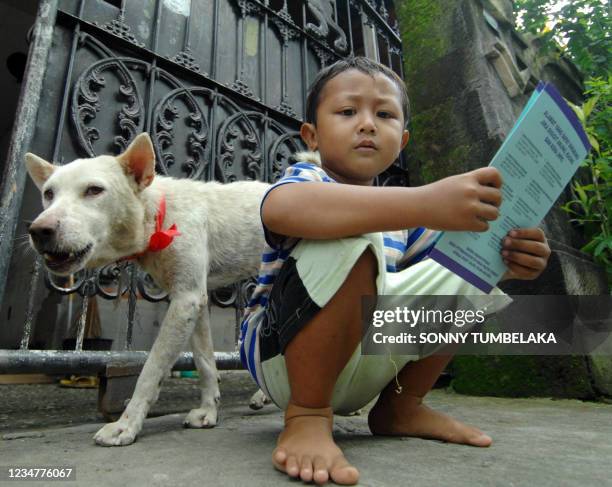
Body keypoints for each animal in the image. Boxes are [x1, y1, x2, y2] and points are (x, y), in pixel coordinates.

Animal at [26, 133, 270, 446]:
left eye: (94, 190)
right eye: (49, 194)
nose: (39, 231)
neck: (159, 214)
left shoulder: (185, 300)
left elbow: (151, 369)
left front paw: (125, 425)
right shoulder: (195, 300)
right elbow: (205, 362)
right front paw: (208, 411)